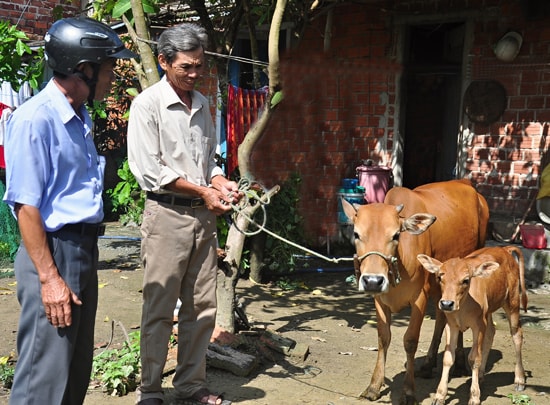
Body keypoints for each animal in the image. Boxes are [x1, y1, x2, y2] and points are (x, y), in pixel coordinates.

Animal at [342, 179, 490, 404]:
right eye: (357, 234)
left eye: (396, 235)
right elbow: (383, 337)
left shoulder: (420, 297)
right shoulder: (380, 299)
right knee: (441, 316)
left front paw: (408, 391)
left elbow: (410, 341)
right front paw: (374, 386)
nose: (373, 281)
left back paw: (459, 363)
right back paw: (429, 364)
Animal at [418, 245, 532, 404]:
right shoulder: (451, 325)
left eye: (466, 280)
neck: (463, 307)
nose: (446, 303)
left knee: (517, 334)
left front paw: (474, 396)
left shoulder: (478, 326)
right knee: (491, 333)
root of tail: (504, 249)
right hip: (488, 311)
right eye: (440, 277)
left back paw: (519, 379)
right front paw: (439, 395)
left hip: (512, 302)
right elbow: (448, 357)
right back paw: (482, 376)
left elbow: (474, 358)